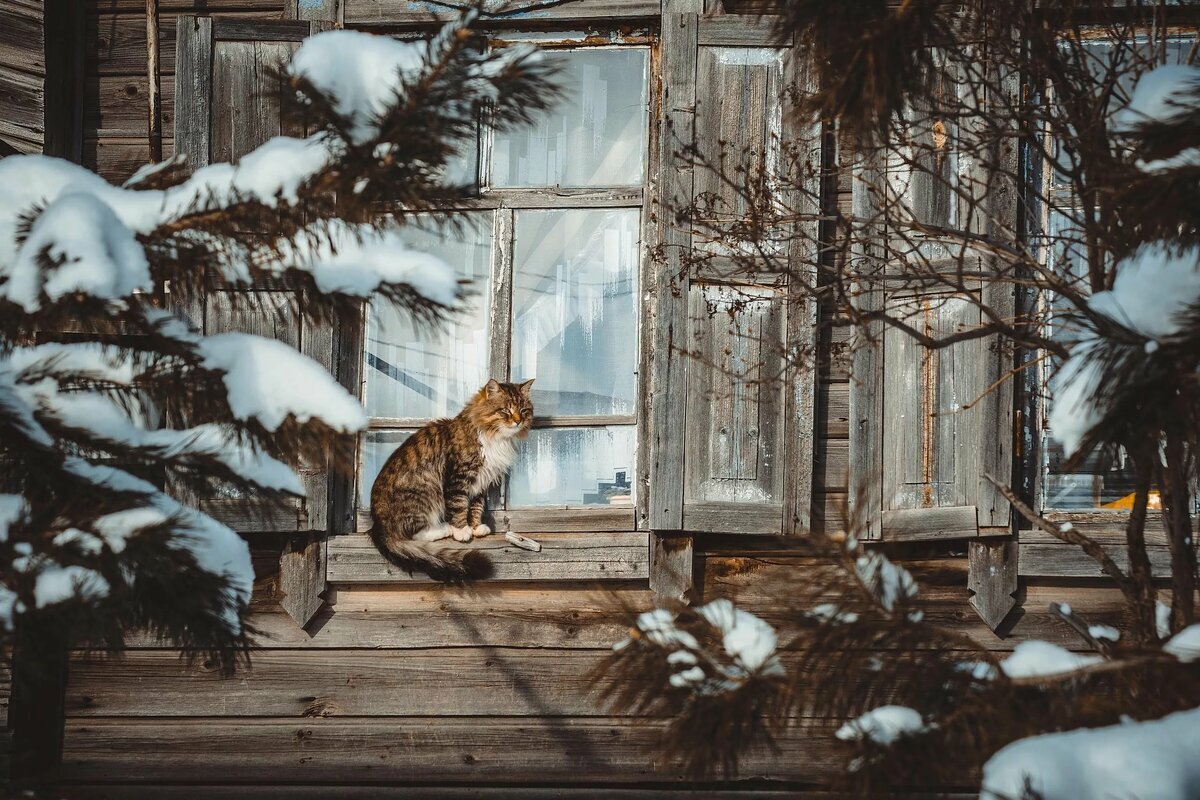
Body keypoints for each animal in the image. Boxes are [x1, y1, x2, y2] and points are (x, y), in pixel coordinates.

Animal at [364, 379, 535, 585]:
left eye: (523, 410)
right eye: (505, 411)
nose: (518, 420)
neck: (493, 437)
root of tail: (379, 527)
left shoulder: (481, 484)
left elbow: (476, 507)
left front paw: (476, 527)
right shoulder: (458, 478)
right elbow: (459, 506)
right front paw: (462, 530)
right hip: (426, 490)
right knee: (414, 533)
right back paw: (445, 528)